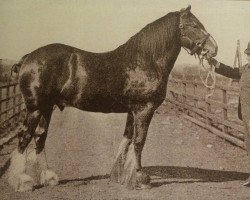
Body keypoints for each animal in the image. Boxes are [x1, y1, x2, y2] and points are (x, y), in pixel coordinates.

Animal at [6, 5, 216, 191]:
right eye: (194, 25)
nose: (214, 49)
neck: (146, 60)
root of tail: (28, 58)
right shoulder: (144, 109)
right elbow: (139, 142)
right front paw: (140, 179)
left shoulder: (133, 111)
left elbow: (127, 140)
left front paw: (120, 175)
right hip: (35, 108)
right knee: (24, 139)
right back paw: (22, 182)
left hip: (47, 108)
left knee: (40, 138)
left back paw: (48, 178)